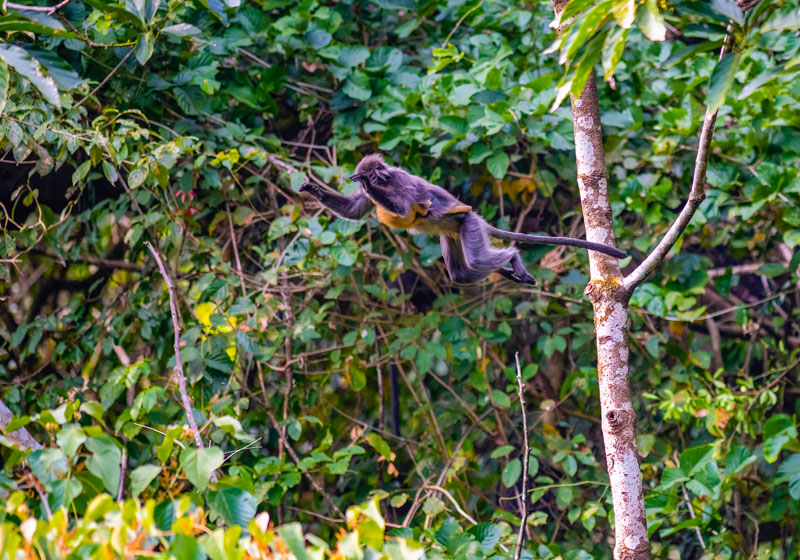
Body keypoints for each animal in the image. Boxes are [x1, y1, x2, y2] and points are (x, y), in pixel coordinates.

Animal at [296, 153, 628, 284]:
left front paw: (367, 184)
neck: (388, 183)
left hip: (467, 224)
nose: (369, 180)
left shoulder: (402, 184)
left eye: (372, 175)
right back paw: (506, 271)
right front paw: (313, 188)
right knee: (460, 274)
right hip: (452, 233)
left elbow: (409, 210)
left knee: (478, 259)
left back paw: (512, 258)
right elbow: (356, 210)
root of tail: (475, 218)